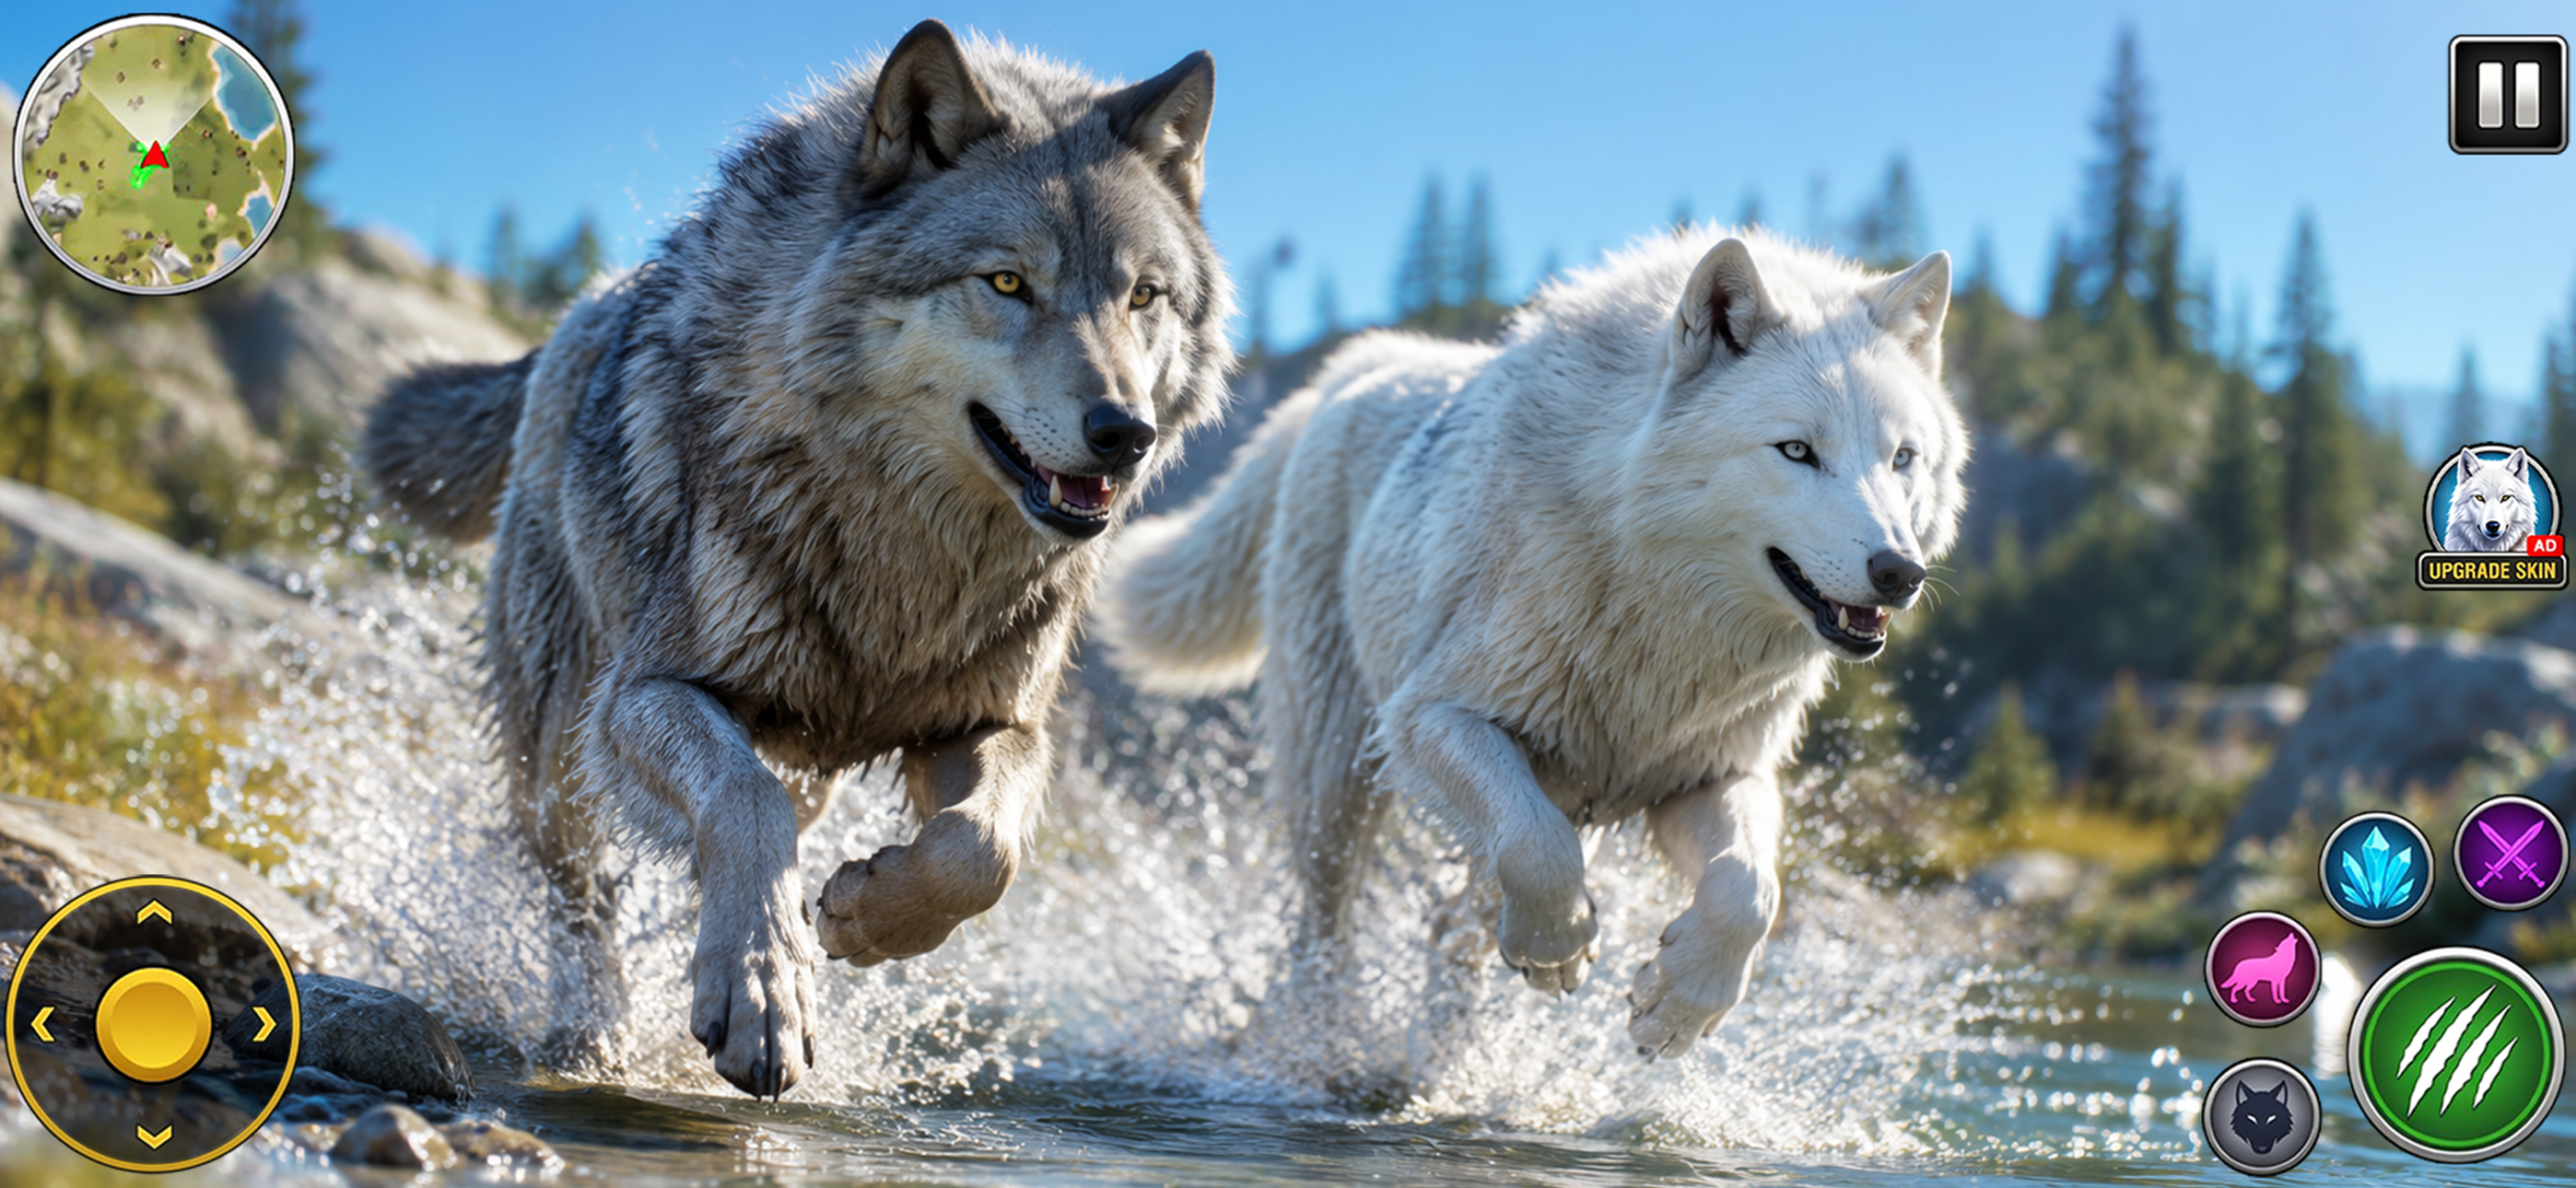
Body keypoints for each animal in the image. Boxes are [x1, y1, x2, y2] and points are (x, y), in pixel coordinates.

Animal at [360, 20, 1231, 1096]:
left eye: (1143, 296)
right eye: (1007, 283)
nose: (1125, 434)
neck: (904, 555)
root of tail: (584, 307)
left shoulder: (992, 722)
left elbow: (980, 851)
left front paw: (869, 917)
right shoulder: (645, 691)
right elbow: (743, 803)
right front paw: (760, 992)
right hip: (558, 750)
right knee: (584, 891)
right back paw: (596, 1035)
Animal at [1100, 228, 1967, 1057]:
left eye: (1902, 458)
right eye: (1796, 450)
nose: (1900, 573)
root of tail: (1358, 365)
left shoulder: (1711, 775)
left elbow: (1750, 892)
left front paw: (1678, 1007)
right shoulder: (1428, 716)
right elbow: (1538, 850)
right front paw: (1560, 947)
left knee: (1452, 927)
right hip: (1336, 780)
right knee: (1323, 926)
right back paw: (1323, 1037)